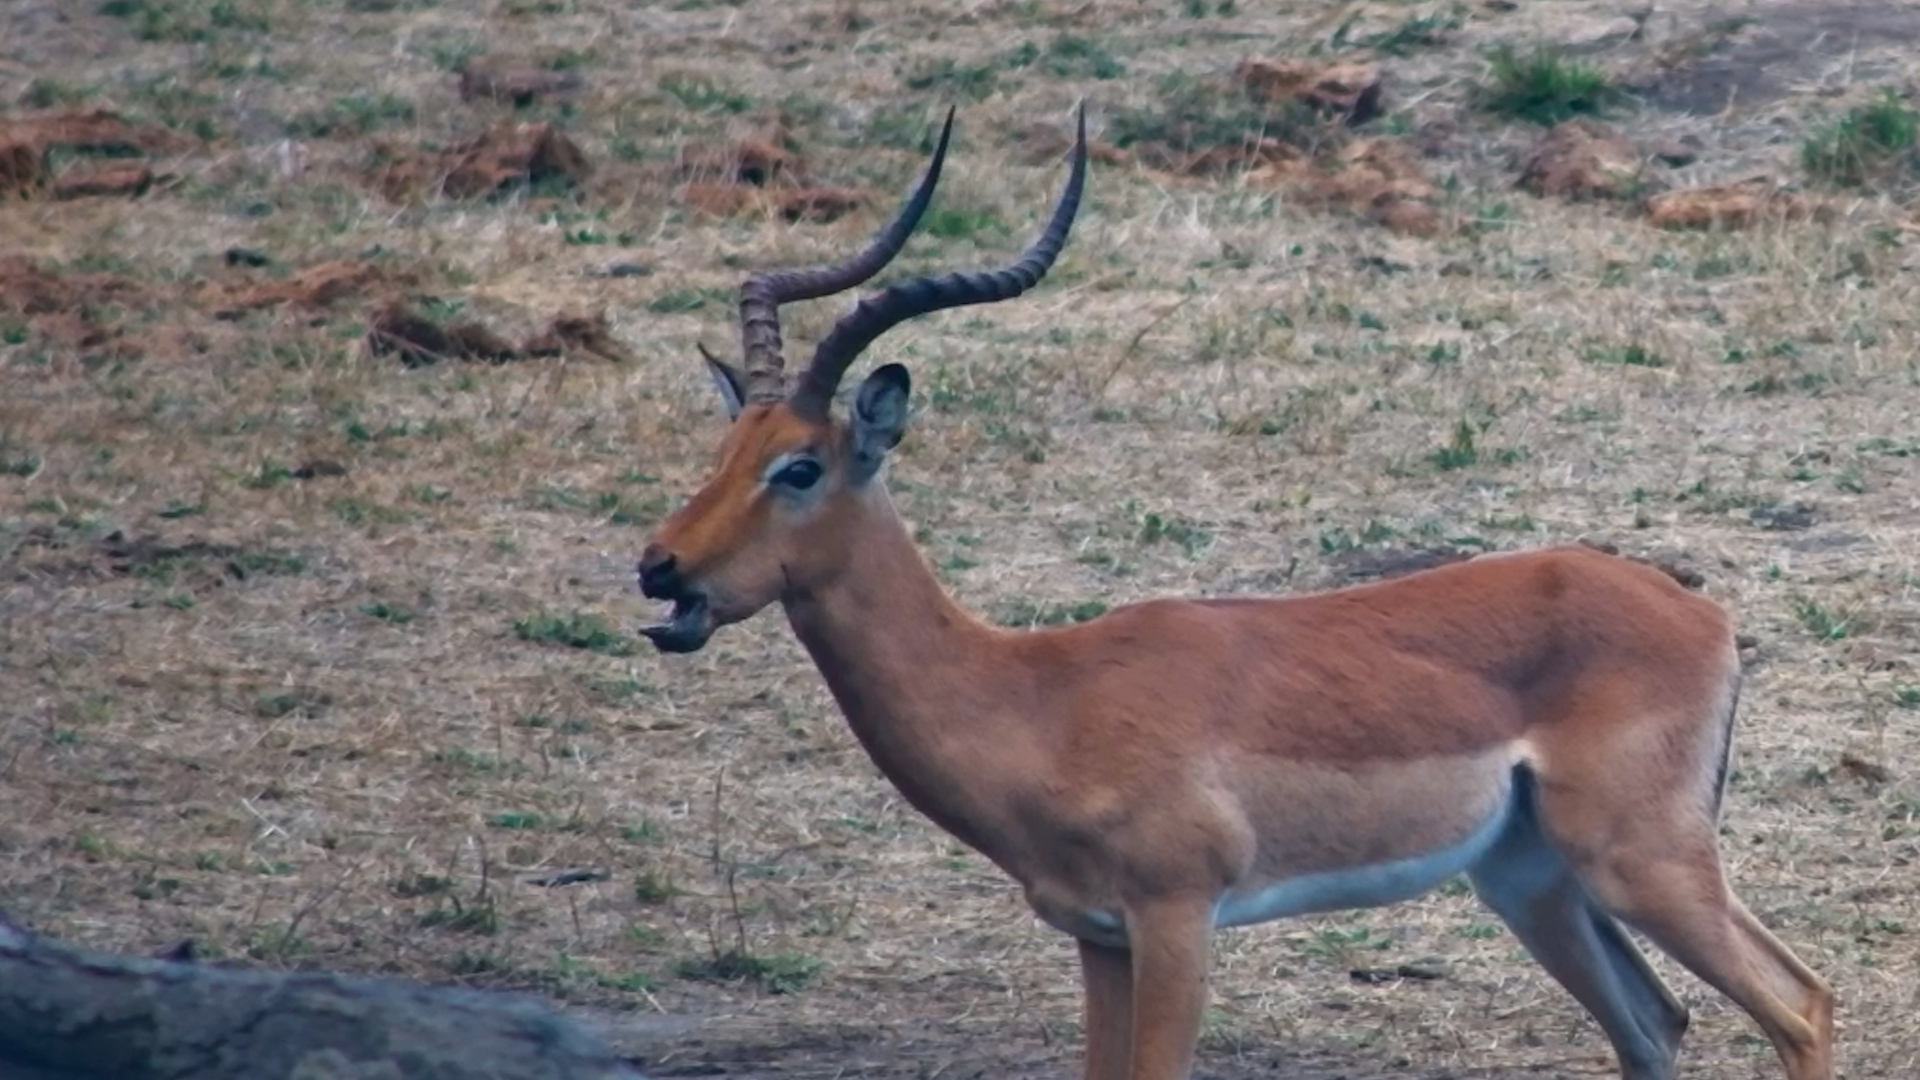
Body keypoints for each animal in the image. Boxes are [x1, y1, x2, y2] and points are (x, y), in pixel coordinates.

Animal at [635, 107, 1836, 1080]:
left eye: (800, 467)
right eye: (725, 449)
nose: (661, 568)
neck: (1032, 694)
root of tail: (1705, 615)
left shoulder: (1178, 919)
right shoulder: (1099, 935)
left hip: (1644, 863)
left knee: (1803, 1004)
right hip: (1532, 880)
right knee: (1658, 1025)